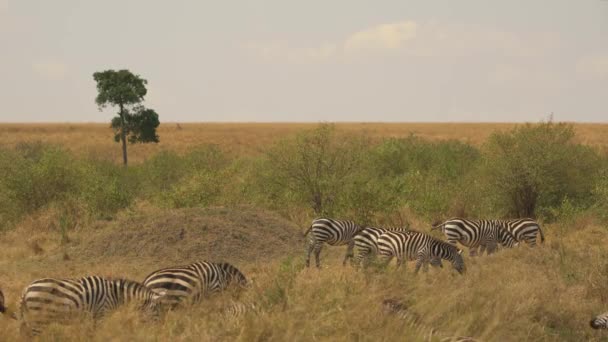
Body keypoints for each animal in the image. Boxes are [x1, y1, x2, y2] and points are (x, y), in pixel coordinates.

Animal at [18, 276, 164, 336]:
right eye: (157, 311)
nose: (158, 331)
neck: (115, 294)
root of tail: (27, 288)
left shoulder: (94, 316)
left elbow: (91, 334)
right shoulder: (101, 314)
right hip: (39, 319)